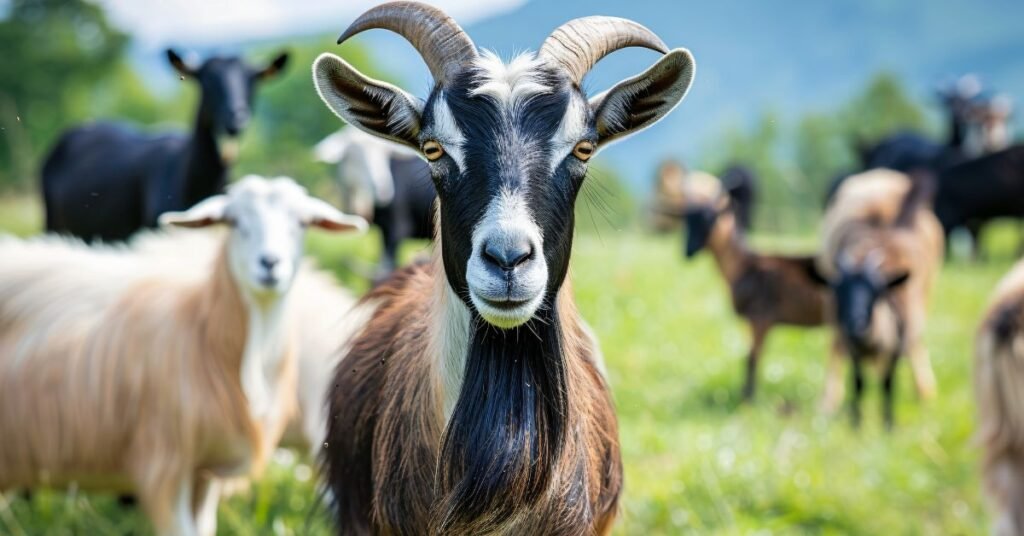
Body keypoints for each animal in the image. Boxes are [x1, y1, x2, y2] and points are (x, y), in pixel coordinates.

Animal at [314, 127, 435, 279]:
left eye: (386, 155)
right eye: (355, 154)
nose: (383, 189)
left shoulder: (398, 227)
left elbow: (387, 265)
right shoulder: (384, 231)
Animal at [680, 172, 828, 401]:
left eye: (710, 219)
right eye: (686, 221)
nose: (688, 251)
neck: (744, 264)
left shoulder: (761, 317)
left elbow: (752, 357)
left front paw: (748, 399)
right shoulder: (752, 320)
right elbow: (747, 355)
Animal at [814, 169, 943, 427]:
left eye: (877, 292)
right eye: (838, 291)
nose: (856, 325)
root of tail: (882, 174)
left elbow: (888, 377)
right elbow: (849, 366)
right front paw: (833, 407)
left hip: (926, 291)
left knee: (916, 341)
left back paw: (924, 391)